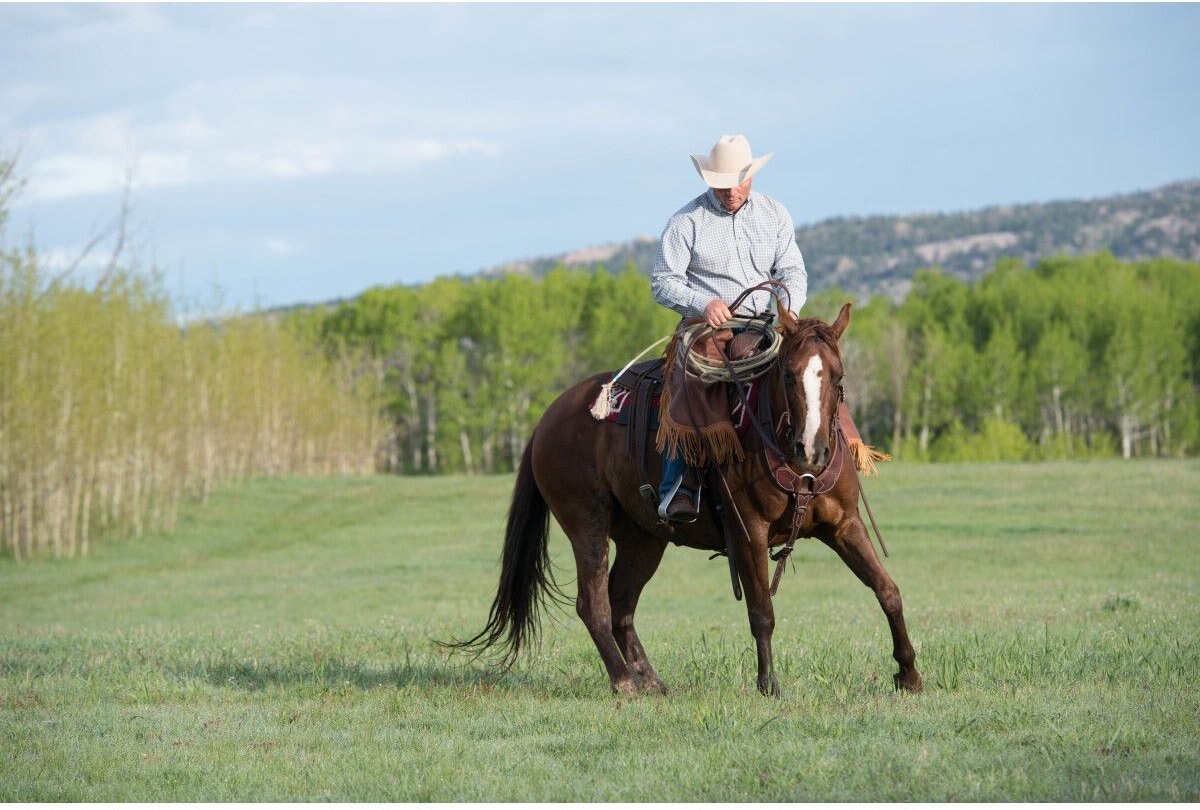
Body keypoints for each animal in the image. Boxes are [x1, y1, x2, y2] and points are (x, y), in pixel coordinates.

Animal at [446, 302, 921, 696]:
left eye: (838, 376)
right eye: (788, 374)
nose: (812, 451)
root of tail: (547, 419)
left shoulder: (844, 526)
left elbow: (888, 590)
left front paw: (909, 674)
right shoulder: (748, 534)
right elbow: (762, 611)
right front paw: (768, 685)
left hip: (643, 539)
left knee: (621, 604)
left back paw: (651, 680)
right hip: (587, 525)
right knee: (593, 604)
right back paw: (624, 683)